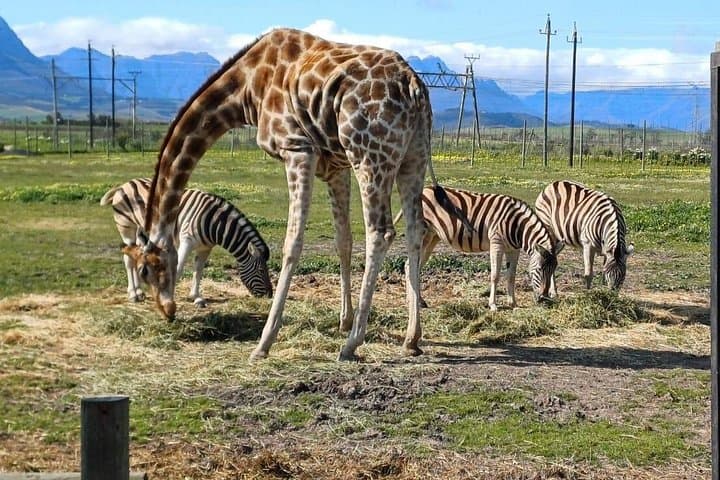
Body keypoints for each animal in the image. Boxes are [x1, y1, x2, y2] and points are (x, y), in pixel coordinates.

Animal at [123, 27, 457, 361]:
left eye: (146, 270)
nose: (167, 310)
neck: (247, 89)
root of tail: (414, 85)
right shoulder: (335, 167)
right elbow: (343, 241)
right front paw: (342, 320)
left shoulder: (297, 149)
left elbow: (292, 243)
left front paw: (264, 342)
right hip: (412, 156)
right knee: (413, 231)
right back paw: (411, 338)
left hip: (369, 155)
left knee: (380, 232)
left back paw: (351, 344)